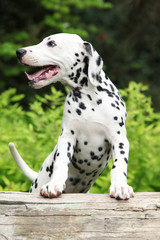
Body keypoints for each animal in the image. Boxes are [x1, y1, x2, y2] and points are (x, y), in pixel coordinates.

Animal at [9, 32, 135, 200]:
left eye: (51, 44)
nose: (19, 52)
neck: (89, 98)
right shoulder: (67, 137)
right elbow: (61, 162)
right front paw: (54, 184)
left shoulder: (119, 138)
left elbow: (119, 164)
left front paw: (120, 186)